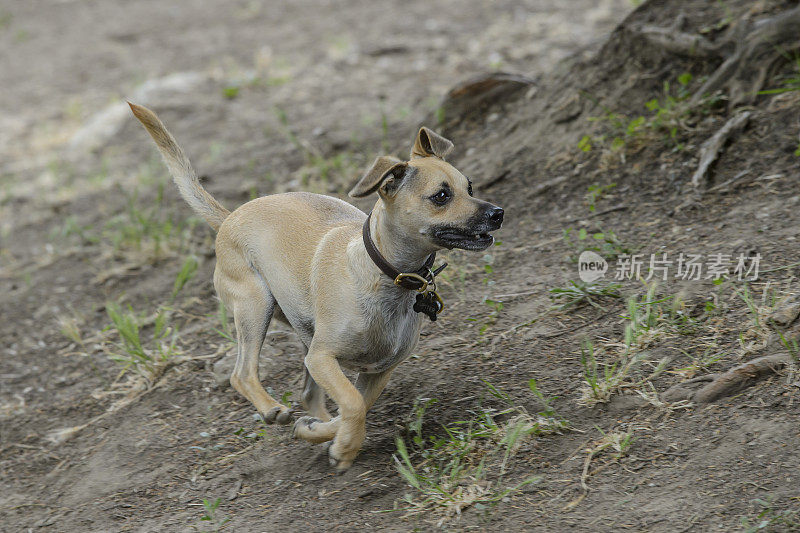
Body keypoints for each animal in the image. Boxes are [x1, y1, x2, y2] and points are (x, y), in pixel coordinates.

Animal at [130, 102, 506, 468]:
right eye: (441, 196)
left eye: (470, 187)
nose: (498, 213)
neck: (386, 277)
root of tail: (229, 217)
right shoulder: (323, 358)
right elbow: (353, 405)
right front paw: (343, 448)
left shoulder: (376, 371)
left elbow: (354, 408)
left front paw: (326, 435)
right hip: (255, 305)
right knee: (242, 373)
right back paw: (271, 408)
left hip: (302, 333)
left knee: (309, 395)